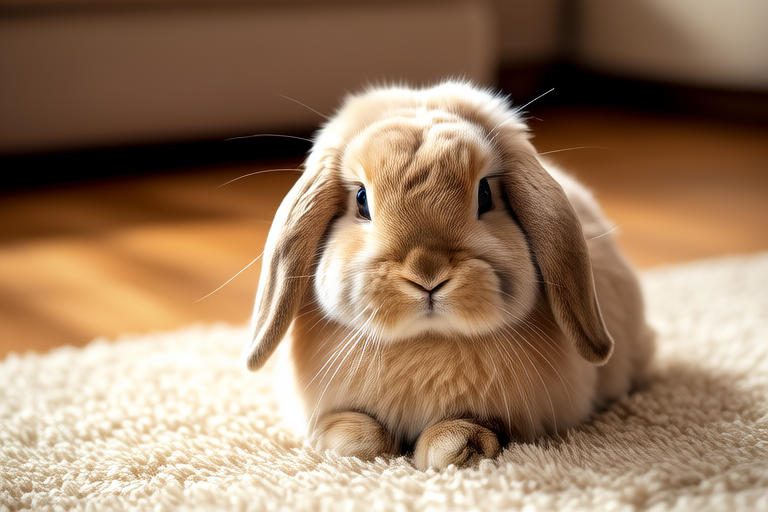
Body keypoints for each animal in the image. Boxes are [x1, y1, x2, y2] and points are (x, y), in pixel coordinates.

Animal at [241, 81, 655, 470]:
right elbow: (357, 434)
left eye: (485, 194)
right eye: (361, 200)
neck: (427, 340)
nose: (427, 273)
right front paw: (352, 444)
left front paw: (454, 449)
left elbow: (474, 427)